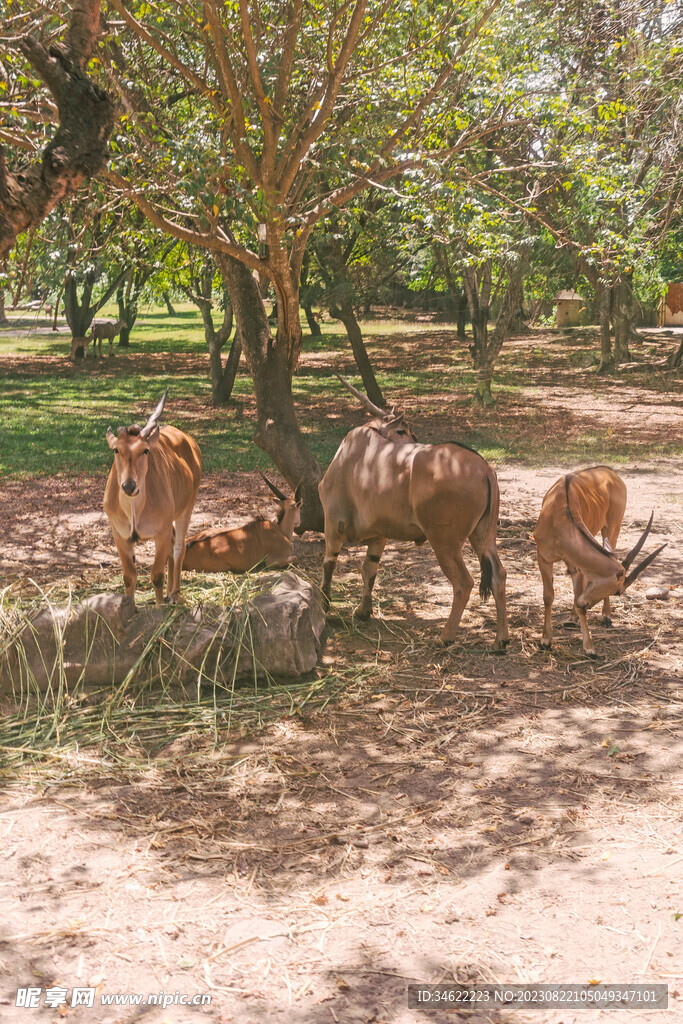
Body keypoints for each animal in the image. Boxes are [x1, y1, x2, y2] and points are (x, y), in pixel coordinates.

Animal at [104, 390, 202, 604]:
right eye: (116, 450)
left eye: (145, 450)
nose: (129, 486)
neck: (134, 508)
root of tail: (189, 440)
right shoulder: (119, 536)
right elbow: (129, 577)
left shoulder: (161, 533)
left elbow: (156, 575)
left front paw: (159, 607)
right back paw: (169, 592)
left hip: (188, 505)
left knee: (179, 547)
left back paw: (175, 593)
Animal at [533, 466, 666, 656]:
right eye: (618, 591)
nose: (585, 603)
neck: (560, 516)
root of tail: (609, 472)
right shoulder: (543, 556)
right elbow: (548, 596)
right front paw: (545, 640)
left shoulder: (578, 566)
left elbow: (576, 596)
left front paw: (589, 647)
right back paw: (572, 617)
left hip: (612, 528)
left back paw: (606, 617)